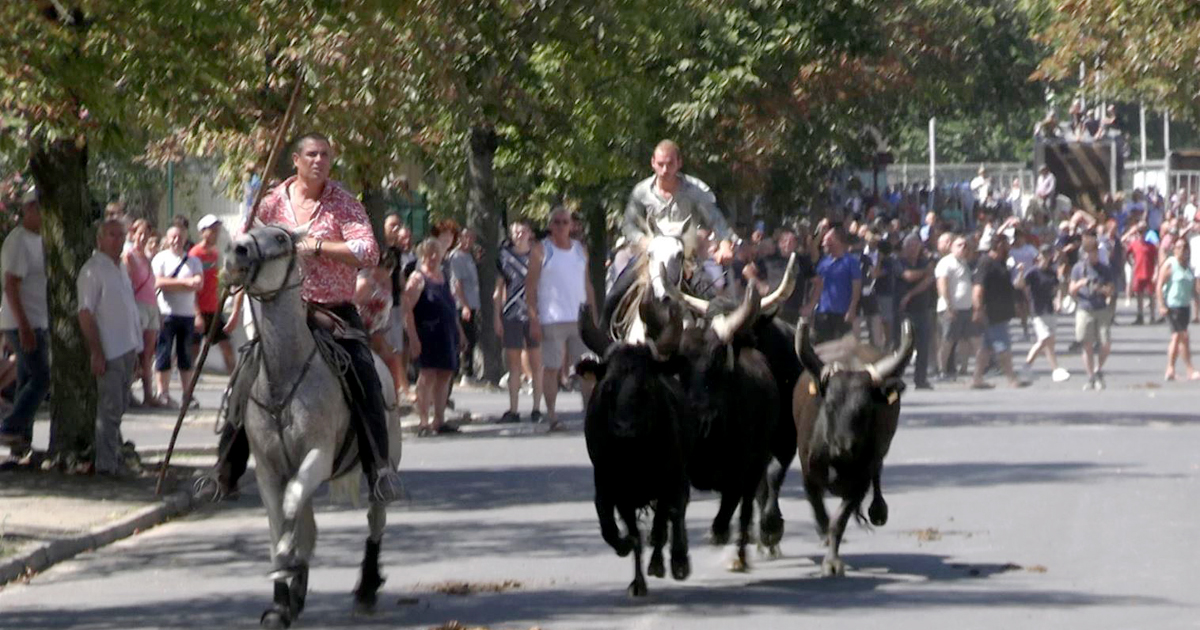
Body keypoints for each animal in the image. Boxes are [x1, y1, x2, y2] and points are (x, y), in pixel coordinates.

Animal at [220, 223, 398, 624]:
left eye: (281, 238)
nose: (237, 250)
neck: (283, 377)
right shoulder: (269, 469)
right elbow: (280, 522)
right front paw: (280, 602)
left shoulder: (317, 454)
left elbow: (289, 510)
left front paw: (289, 569)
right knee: (309, 523)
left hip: (382, 465)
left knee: (375, 520)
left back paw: (366, 589)